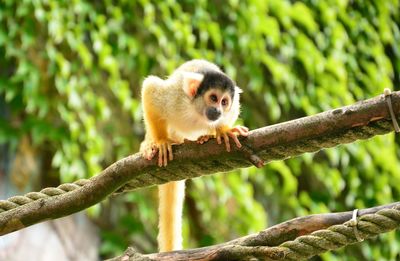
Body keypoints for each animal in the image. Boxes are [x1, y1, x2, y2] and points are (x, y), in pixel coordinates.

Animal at [139, 59, 248, 252]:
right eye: (213, 98)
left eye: (224, 102)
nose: (218, 111)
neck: (198, 113)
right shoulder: (175, 98)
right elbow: (151, 88)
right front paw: (160, 142)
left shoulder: (231, 107)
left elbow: (234, 110)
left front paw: (223, 130)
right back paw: (150, 144)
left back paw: (207, 136)